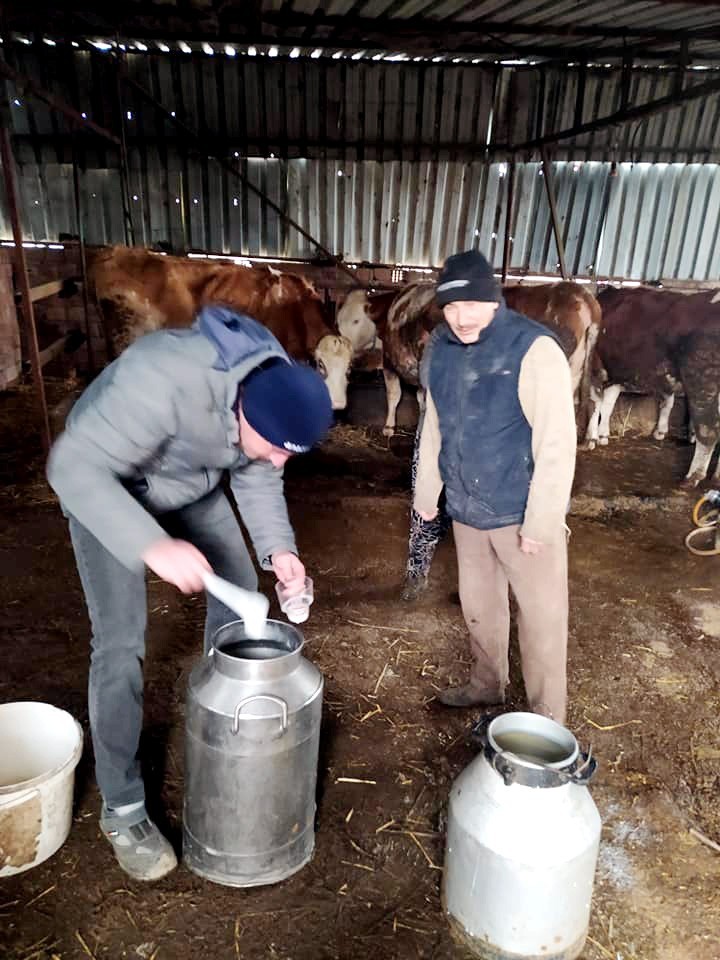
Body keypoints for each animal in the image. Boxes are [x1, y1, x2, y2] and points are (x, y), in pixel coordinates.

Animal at [338, 278, 600, 436]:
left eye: (356, 320)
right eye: (339, 318)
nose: (341, 343)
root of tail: (581, 295)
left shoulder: (391, 361)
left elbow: (394, 396)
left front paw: (389, 428)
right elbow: (421, 402)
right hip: (574, 372)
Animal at [584, 282, 720, 484]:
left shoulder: (596, 366)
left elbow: (595, 404)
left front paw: (590, 438)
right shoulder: (617, 373)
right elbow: (608, 405)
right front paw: (603, 435)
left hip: (702, 381)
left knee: (708, 430)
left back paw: (692, 477)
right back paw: (715, 476)